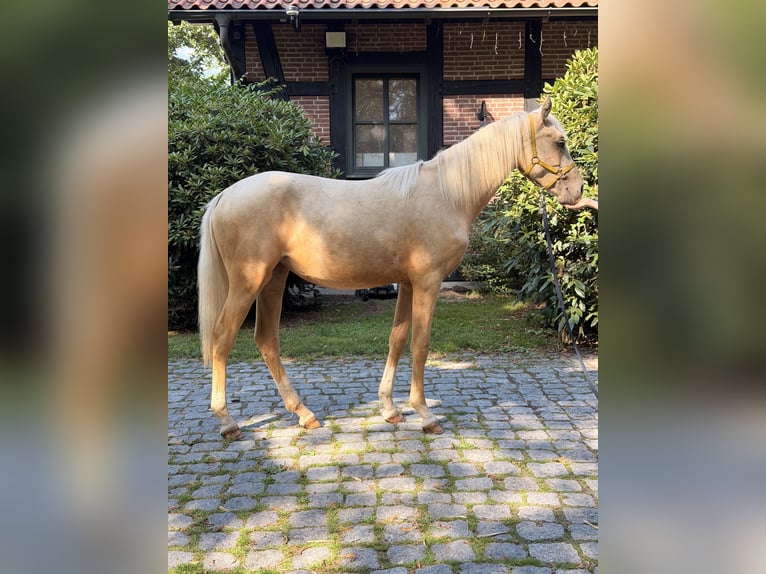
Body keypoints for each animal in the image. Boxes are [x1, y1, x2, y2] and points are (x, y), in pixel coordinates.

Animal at [198, 96, 584, 439]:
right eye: (560, 142)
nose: (578, 190)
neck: (446, 194)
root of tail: (224, 196)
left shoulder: (408, 283)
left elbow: (397, 339)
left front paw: (390, 408)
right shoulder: (428, 281)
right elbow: (421, 344)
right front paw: (425, 414)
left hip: (273, 280)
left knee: (266, 340)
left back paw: (303, 414)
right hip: (249, 281)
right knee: (222, 337)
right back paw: (227, 421)